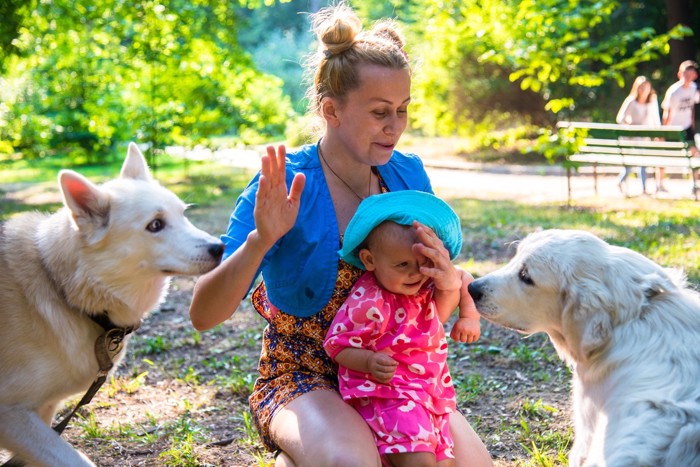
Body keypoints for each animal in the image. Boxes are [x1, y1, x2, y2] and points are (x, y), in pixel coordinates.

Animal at [0, 144, 223, 466]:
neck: (63, 290)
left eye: (183, 214)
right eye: (155, 225)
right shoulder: (13, 414)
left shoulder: (42, 413)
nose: (220, 248)